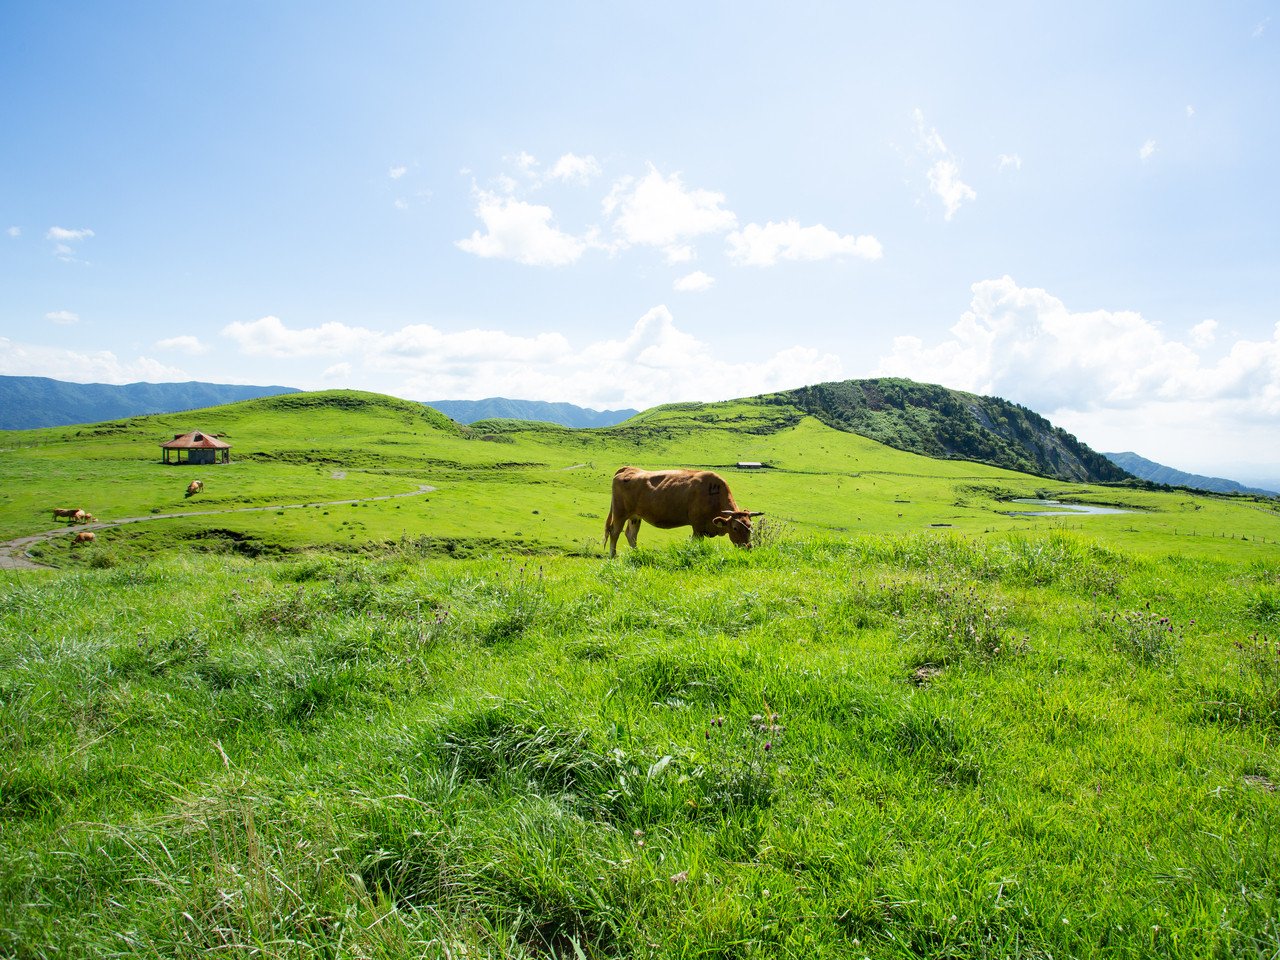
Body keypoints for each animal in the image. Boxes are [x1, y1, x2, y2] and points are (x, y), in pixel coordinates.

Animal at [599, 463, 757, 555]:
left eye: (750, 527)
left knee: (631, 534)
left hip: (635, 516)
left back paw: (637, 554)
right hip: (620, 513)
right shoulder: (698, 528)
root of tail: (629, 469)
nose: (748, 547)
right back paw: (613, 557)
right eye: (735, 528)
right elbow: (695, 544)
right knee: (614, 533)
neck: (714, 495)